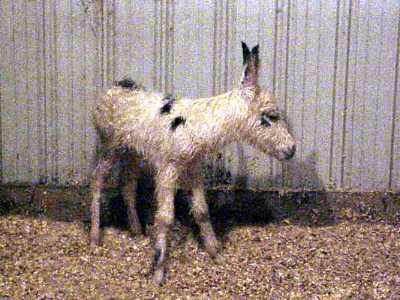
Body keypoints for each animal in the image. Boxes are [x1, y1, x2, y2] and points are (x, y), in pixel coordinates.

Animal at [91, 41, 296, 284]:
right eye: (270, 117)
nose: (291, 150)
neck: (198, 124)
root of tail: (115, 86)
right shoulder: (168, 168)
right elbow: (165, 218)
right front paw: (158, 274)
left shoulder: (193, 167)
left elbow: (201, 211)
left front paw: (216, 254)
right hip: (110, 145)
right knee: (97, 179)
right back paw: (94, 238)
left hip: (132, 152)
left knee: (128, 186)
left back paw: (136, 231)